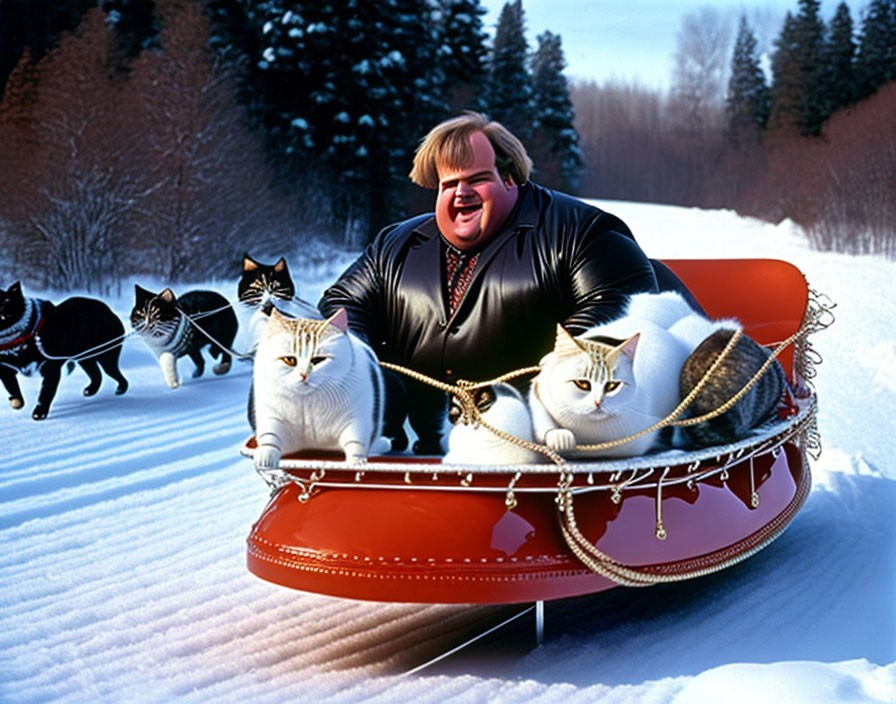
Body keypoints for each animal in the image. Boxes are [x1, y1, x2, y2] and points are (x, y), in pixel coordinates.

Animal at [0, 280, 130, 420]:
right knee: (96, 374)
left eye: (7, 302)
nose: (2, 312)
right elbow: (13, 388)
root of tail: (108, 310)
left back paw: (120, 389)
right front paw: (16, 401)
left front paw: (39, 413)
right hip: (84, 358)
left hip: (106, 356)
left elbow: (46, 392)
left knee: (114, 374)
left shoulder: (50, 368)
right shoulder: (5, 370)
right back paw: (90, 390)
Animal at [250, 308, 386, 468]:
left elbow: (356, 443)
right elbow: (270, 437)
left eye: (318, 360)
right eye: (289, 360)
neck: (308, 401)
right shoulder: (272, 417)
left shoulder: (356, 420)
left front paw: (356, 462)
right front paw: (265, 457)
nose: (304, 375)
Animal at [528, 290, 740, 460]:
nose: (598, 402)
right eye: (582, 384)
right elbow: (541, 417)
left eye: (612, 386)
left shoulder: (635, 438)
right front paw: (560, 437)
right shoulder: (538, 390)